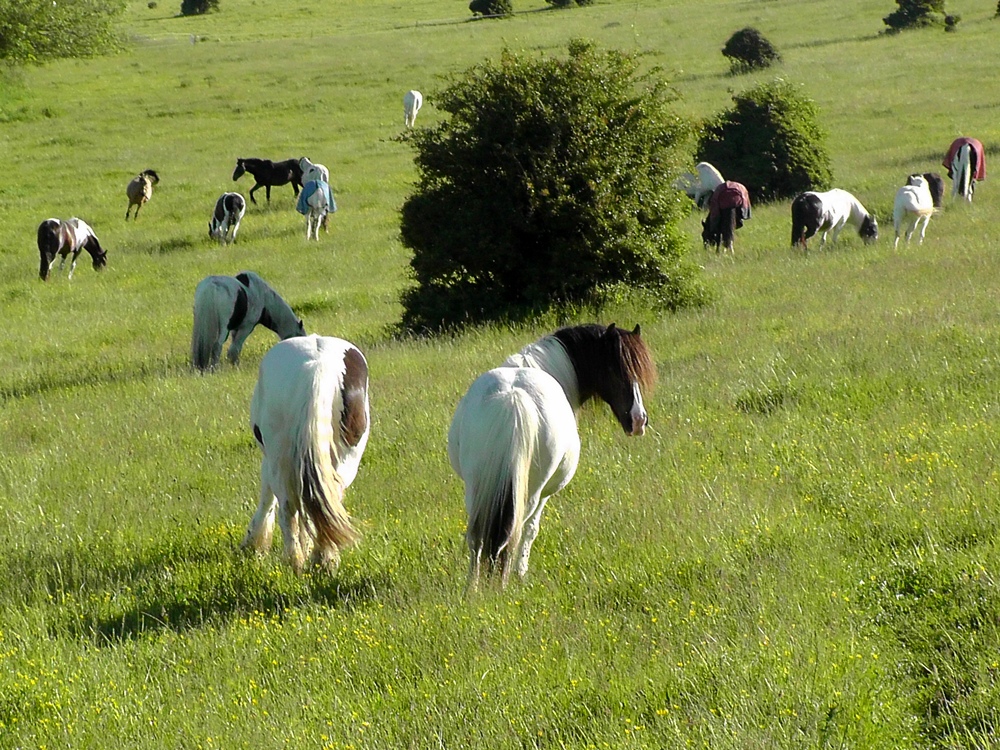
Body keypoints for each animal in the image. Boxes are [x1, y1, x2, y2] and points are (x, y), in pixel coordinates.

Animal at [241, 335, 370, 574]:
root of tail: (319, 366)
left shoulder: (270, 462)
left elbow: (268, 499)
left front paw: (254, 544)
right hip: (344, 460)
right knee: (328, 499)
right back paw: (324, 559)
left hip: (279, 459)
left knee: (288, 507)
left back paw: (295, 561)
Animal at [448, 323, 656, 591]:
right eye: (614, 369)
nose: (639, 420)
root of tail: (513, 397)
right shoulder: (544, 494)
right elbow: (531, 529)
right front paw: (521, 573)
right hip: (531, 491)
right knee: (514, 530)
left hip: (477, 486)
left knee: (476, 535)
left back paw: (472, 587)